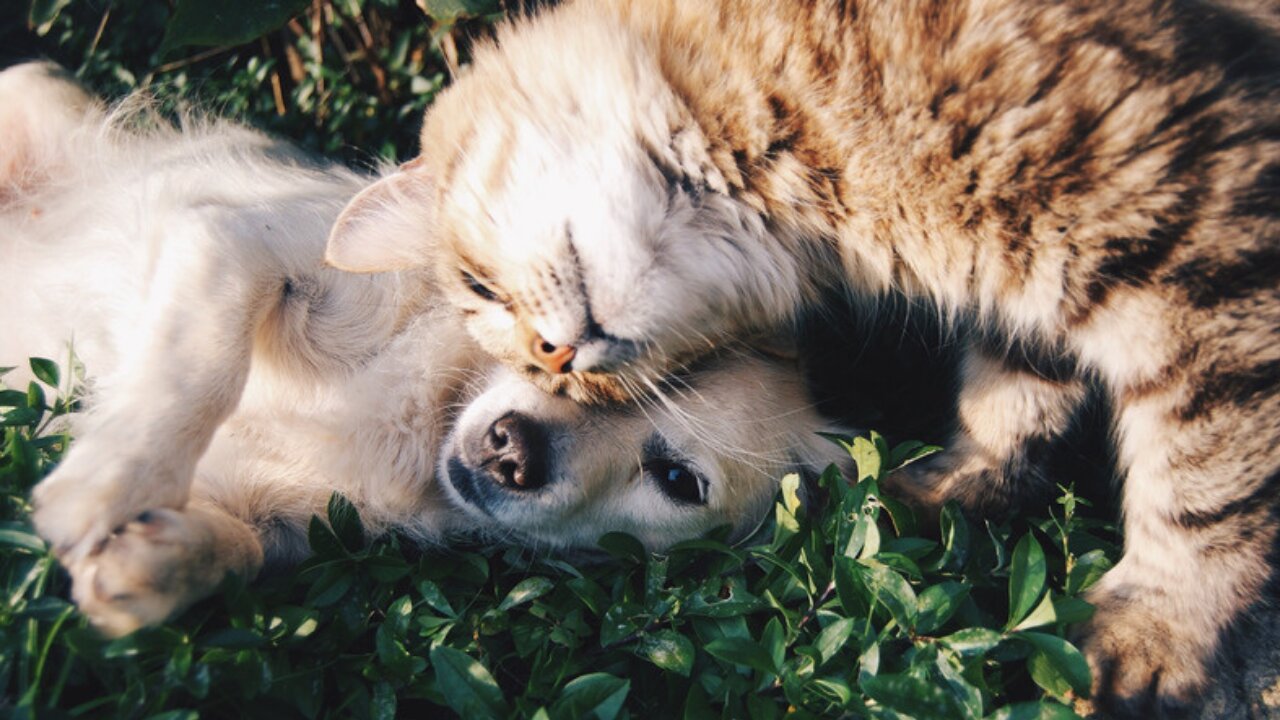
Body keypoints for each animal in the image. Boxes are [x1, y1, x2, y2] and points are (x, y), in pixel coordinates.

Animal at [5, 60, 855, 632]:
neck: (426, 416)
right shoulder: (236, 242)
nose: (513, 450)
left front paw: (152, 562)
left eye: (678, 480)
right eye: (556, 350)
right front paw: (106, 484)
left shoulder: (284, 521)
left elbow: (238, 551)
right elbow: (198, 369)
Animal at [327, 0, 1280, 712]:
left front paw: (1157, 631)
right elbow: (1011, 398)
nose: (556, 359)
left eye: (479, 288)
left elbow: (1204, 484)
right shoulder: (1030, 290)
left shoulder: (1201, 247)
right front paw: (951, 491)